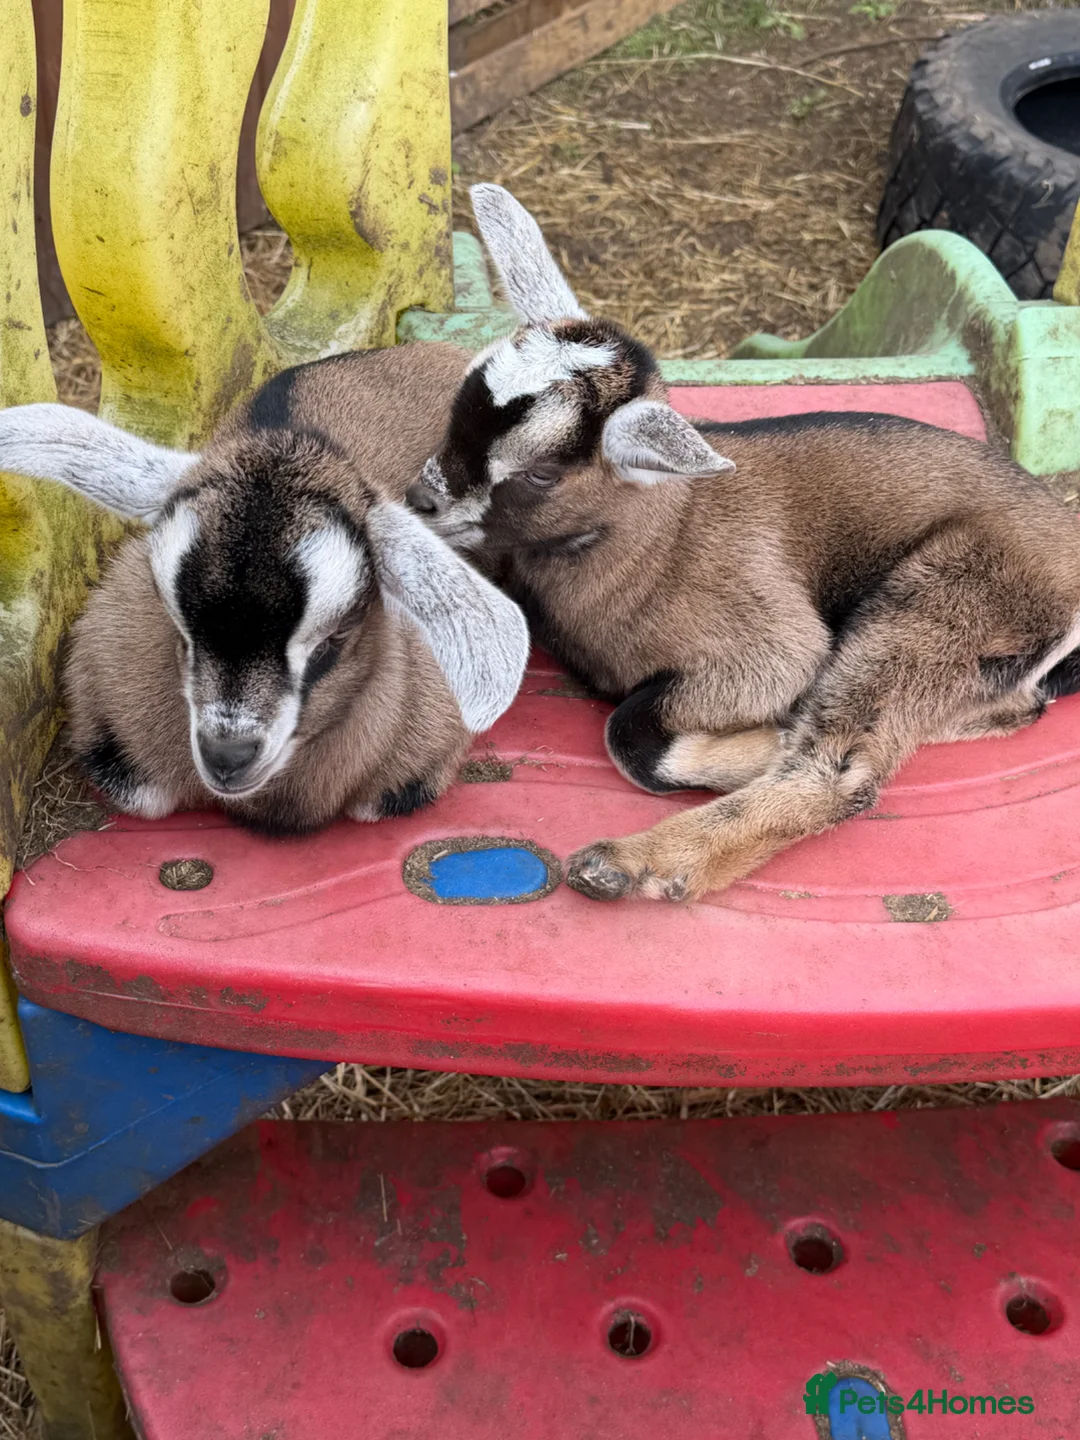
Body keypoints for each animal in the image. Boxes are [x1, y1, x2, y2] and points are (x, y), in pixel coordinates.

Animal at [407, 185, 1080, 902]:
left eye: (541, 473)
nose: (421, 500)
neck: (659, 545)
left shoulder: (771, 645)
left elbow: (632, 735)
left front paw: (764, 735)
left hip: (947, 595)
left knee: (840, 772)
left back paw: (631, 862)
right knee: (1012, 709)